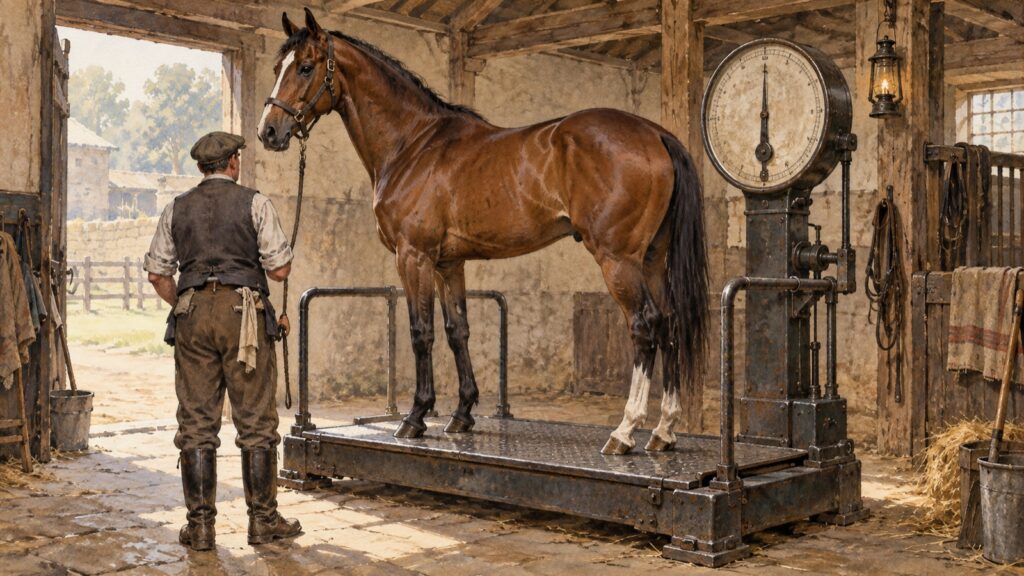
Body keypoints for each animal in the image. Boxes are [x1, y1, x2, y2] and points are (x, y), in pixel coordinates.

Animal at [259, 8, 709, 455]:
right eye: (277, 67)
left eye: (305, 66)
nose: (269, 131)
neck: (412, 145)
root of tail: (656, 134)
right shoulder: (449, 263)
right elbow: (458, 331)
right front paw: (462, 414)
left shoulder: (414, 256)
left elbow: (421, 332)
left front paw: (415, 417)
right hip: (652, 259)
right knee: (669, 324)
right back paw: (664, 431)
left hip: (618, 260)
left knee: (645, 327)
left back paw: (625, 431)